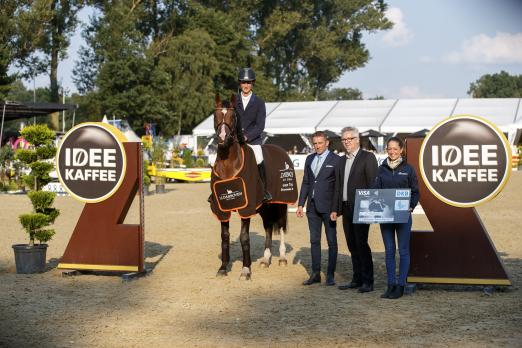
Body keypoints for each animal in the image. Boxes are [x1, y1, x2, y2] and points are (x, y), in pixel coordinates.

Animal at [209, 94, 294, 280]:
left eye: (233, 117)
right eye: (215, 115)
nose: (223, 139)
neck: (228, 164)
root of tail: (282, 151)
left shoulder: (246, 207)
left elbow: (244, 238)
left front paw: (246, 270)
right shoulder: (222, 208)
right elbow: (224, 237)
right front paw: (223, 268)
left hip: (281, 202)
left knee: (281, 226)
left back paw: (282, 258)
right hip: (263, 206)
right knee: (268, 226)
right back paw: (266, 259)